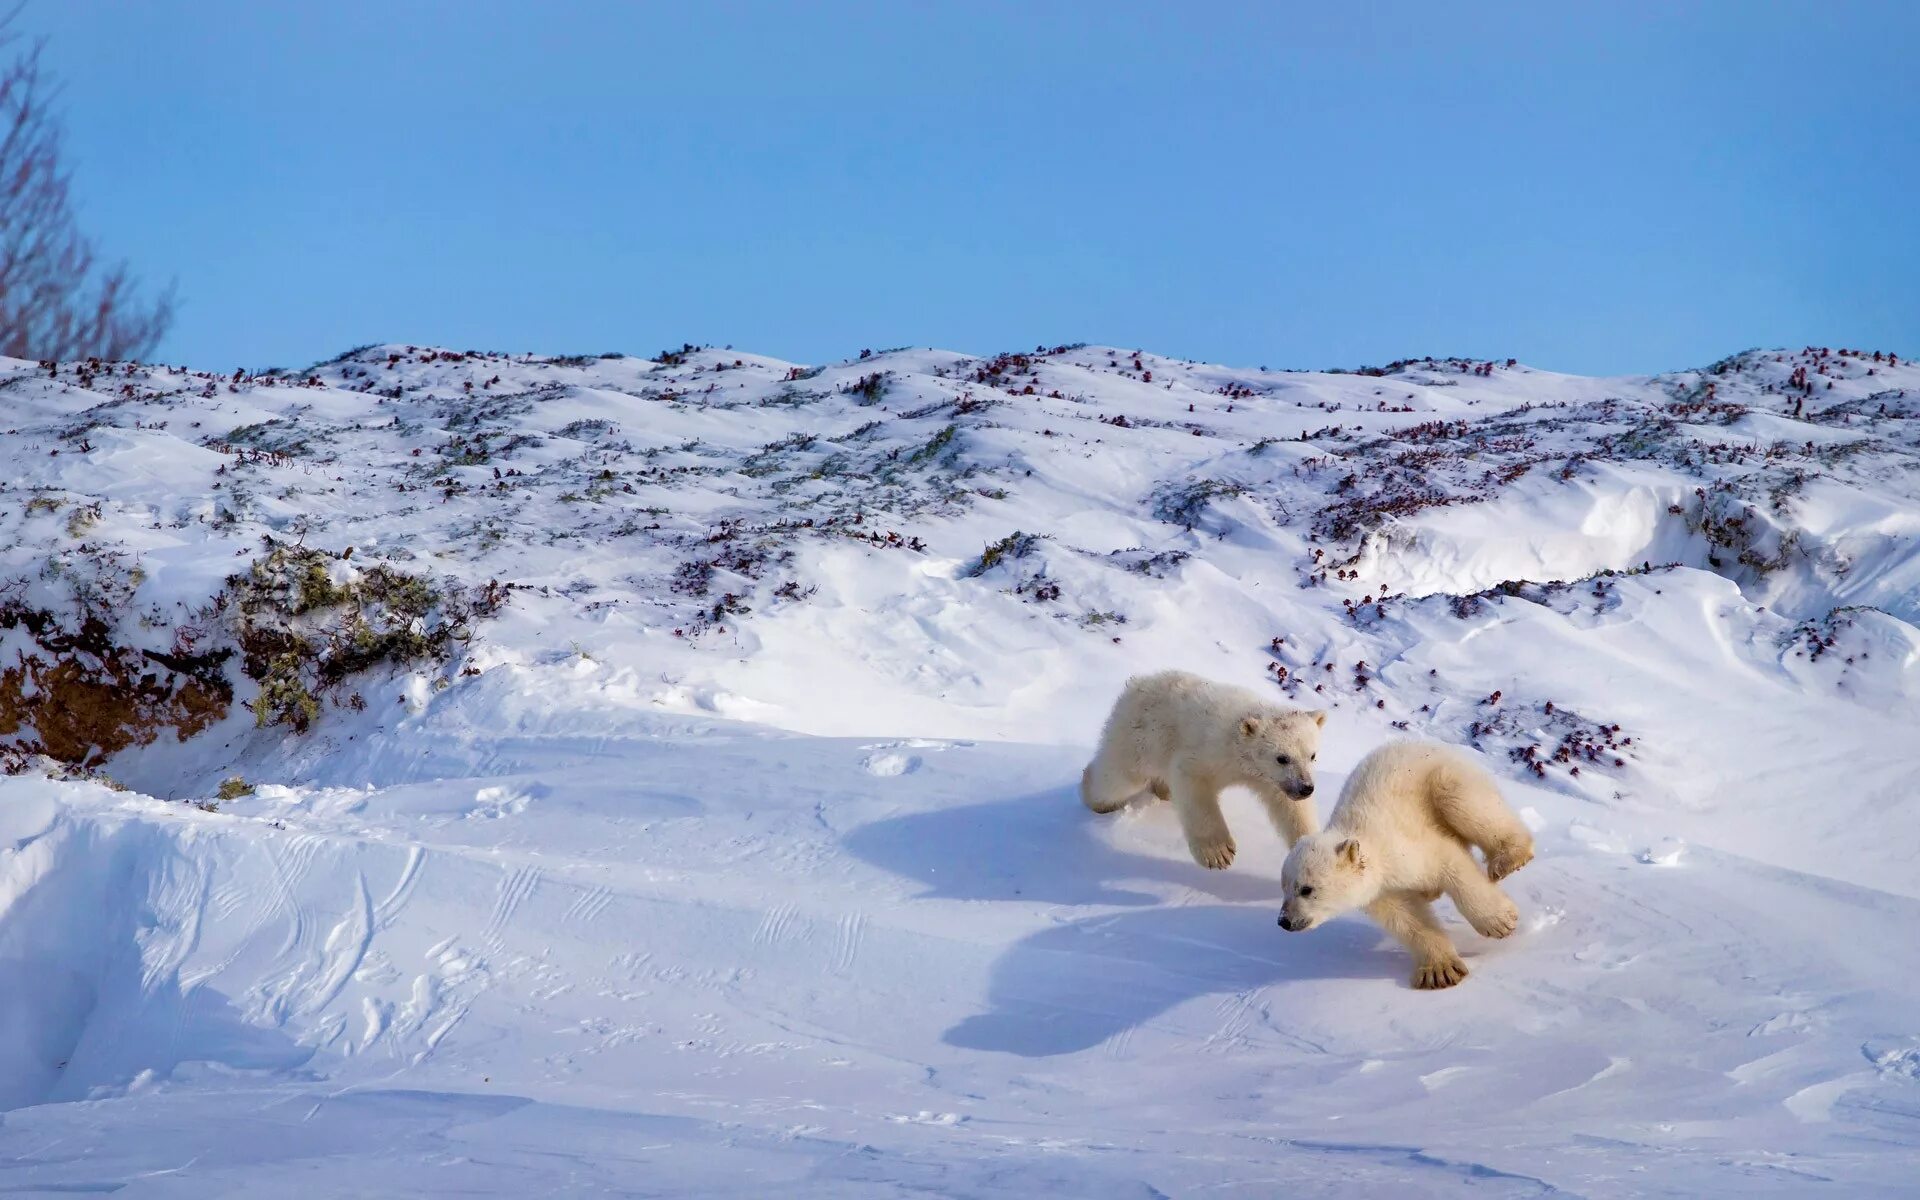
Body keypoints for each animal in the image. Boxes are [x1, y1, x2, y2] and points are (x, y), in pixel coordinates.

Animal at [1075, 664, 1328, 871]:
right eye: (1281, 758)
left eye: (1312, 755)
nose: (1306, 788)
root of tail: (1137, 683)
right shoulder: (1209, 750)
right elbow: (1193, 782)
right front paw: (1219, 853)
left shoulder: (1272, 780)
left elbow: (1291, 808)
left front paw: (1314, 851)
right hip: (1139, 737)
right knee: (1118, 778)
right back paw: (1095, 796)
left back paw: (1163, 791)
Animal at [1282, 744, 1536, 990]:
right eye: (1284, 889)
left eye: (1306, 889)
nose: (1284, 921)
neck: (1376, 852)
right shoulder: (1380, 890)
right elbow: (1406, 917)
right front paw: (1440, 972)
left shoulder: (1405, 845)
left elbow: (1449, 863)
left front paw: (1500, 923)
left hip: (1445, 777)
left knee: (1463, 802)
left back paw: (1508, 859)